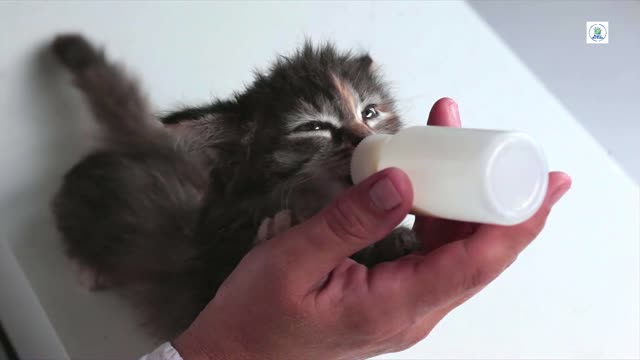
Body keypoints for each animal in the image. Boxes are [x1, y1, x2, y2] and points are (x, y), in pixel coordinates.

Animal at [51, 34, 420, 340]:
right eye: (314, 127)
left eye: (369, 113)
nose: (367, 138)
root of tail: (145, 143)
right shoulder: (204, 291)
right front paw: (274, 233)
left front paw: (398, 242)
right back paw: (87, 267)